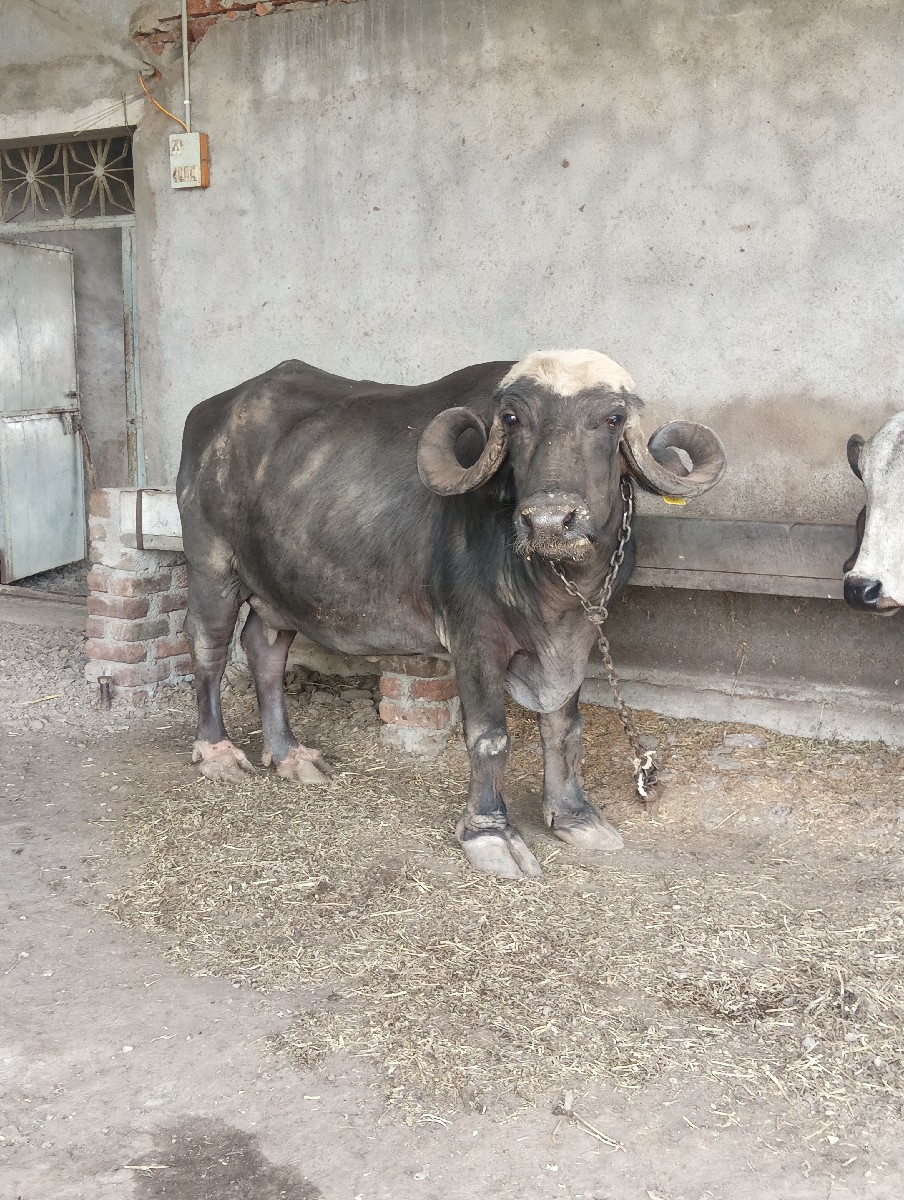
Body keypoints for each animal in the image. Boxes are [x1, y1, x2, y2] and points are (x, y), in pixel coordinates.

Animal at [176, 350, 726, 879]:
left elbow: (565, 729)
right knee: (209, 650)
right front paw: (491, 834)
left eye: (612, 419)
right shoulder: (474, 638)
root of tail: (210, 415)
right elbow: (489, 738)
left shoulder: (581, 635)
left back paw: (290, 754)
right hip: (211, 568)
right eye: (513, 418)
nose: (550, 522)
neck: (554, 585)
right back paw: (217, 753)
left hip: (278, 592)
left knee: (264, 650)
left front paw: (575, 816)